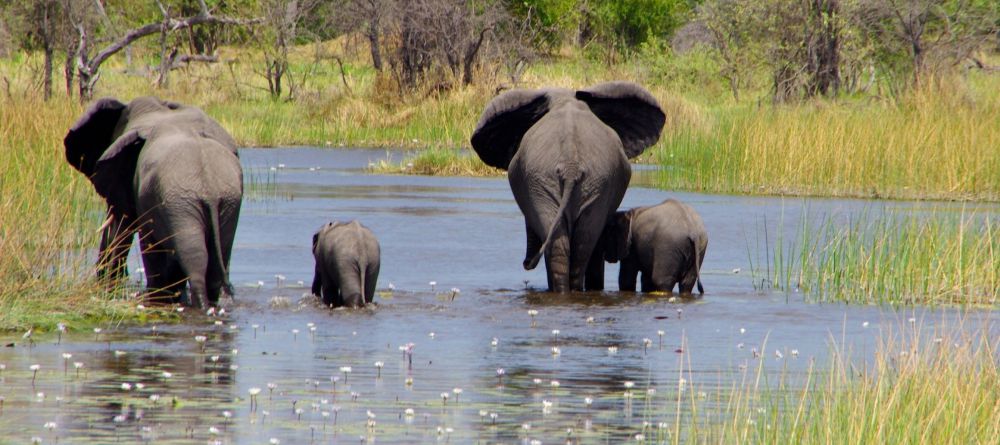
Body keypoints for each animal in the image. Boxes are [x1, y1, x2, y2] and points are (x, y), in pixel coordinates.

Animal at [64, 95, 242, 306]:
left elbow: (145, 241)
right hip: (225, 203)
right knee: (215, 258)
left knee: (193, 256)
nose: (105, 281)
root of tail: (210, 191)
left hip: (180, 204)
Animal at [468, 81, 664, 294]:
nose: (526, 263)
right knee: (580, 243)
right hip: (568, 182)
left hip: (571, 183)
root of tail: (571, 166)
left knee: (567, 243)